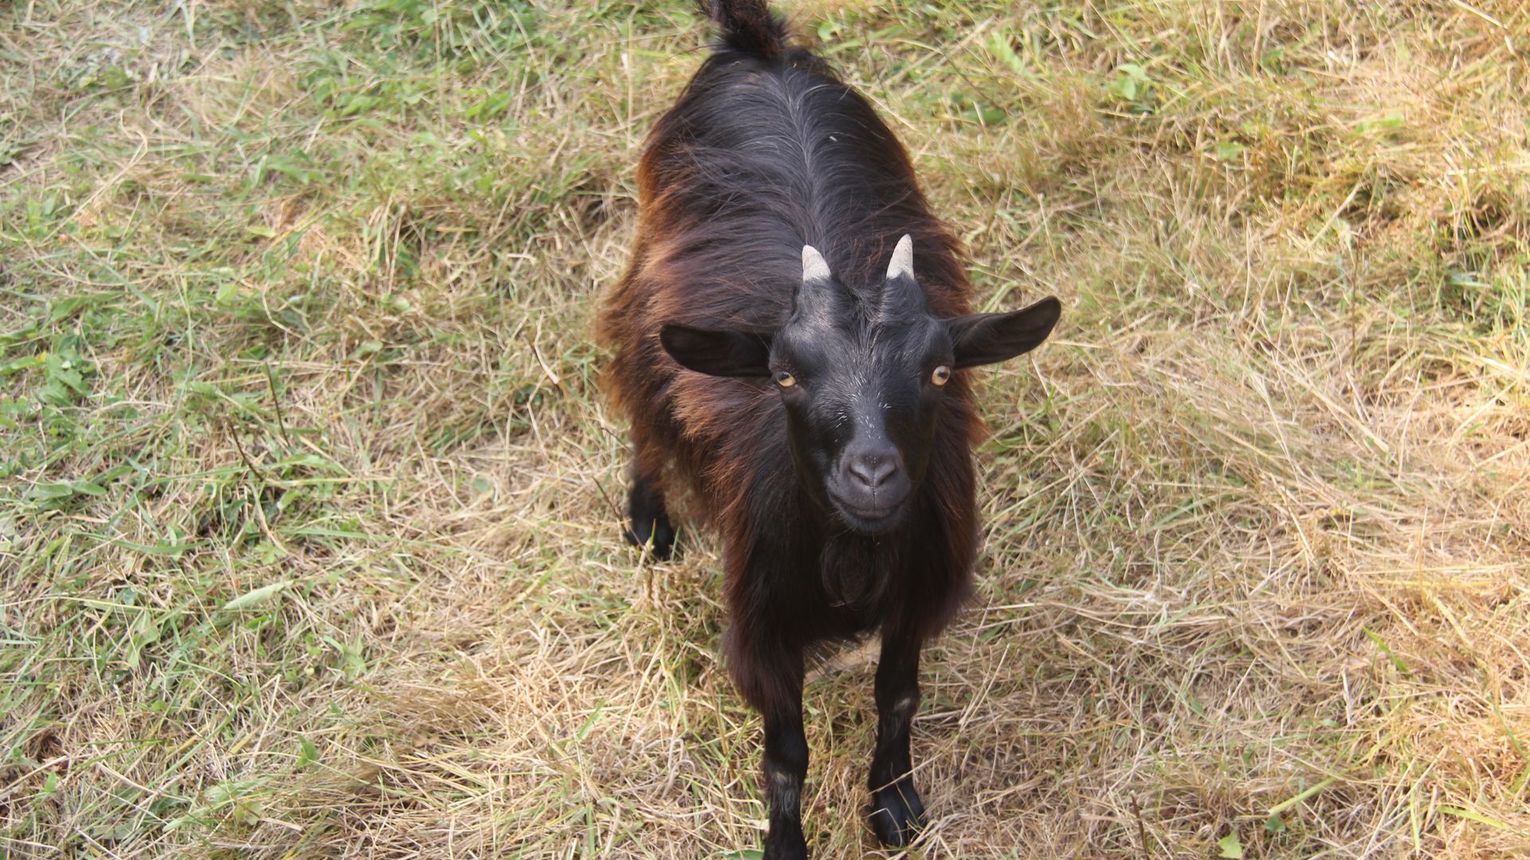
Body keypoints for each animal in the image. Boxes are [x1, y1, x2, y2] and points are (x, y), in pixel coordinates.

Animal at [590, 3, 1058, 850]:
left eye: (940, 372)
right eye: (784, 374)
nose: (870, 474)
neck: (852, 557)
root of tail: (758, 48)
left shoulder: (916, 594)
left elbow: (898, 696)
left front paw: (895, 805)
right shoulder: (764, 625)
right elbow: (786, 752)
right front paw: (785, 843)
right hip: (646, 287)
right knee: (639, 385)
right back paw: (648, 520)